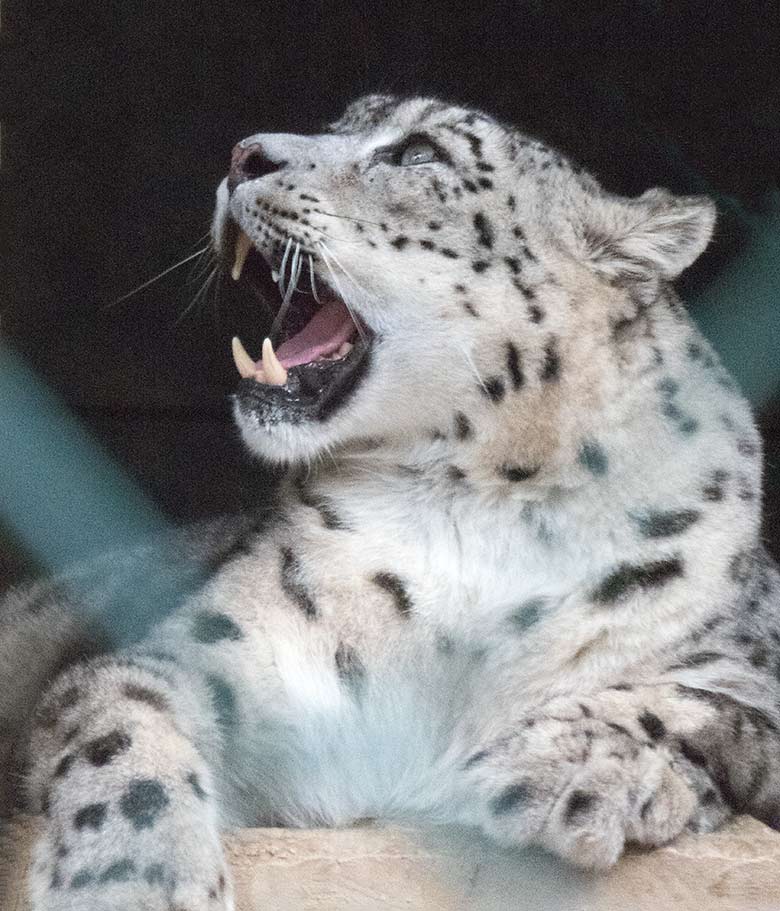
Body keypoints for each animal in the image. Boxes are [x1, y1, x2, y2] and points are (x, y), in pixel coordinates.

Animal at [1, 94, 780, 911]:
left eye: (417, 154)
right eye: (346, 121)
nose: (245, 155)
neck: (480, 509)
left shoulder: (745, 669)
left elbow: (704, 706)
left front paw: (577, 765)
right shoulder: (200, 660)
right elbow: (123, 719)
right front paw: (127, 878)